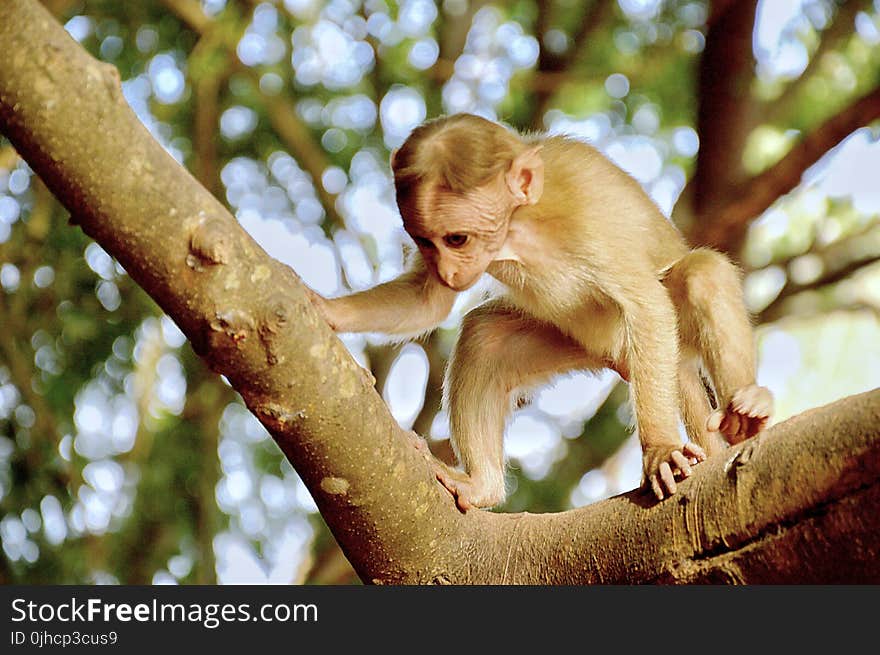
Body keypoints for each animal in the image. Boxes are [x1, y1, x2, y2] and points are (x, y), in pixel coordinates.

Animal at [308, 114, 768, 512]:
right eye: (425, 241)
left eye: (457, 239)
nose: (449, 272)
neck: (520, 227)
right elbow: (429, 301)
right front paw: (325, 309)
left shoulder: (589, 224)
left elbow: (647, 305)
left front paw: (660, 449)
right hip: (590, 345)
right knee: (485, 336)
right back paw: (482, 485)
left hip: (663, 341)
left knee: (703, 275)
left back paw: (745, 409)